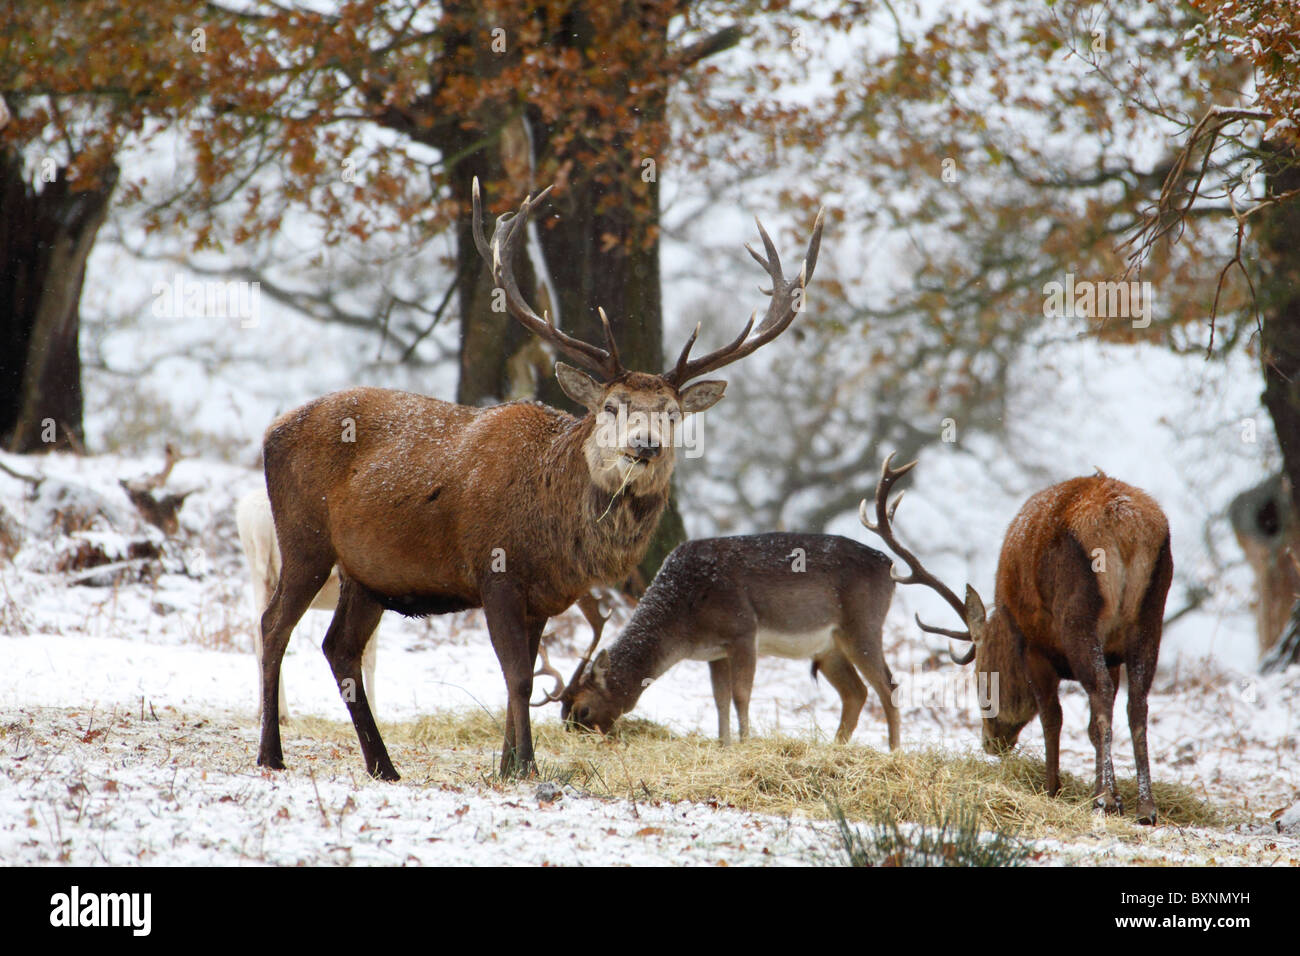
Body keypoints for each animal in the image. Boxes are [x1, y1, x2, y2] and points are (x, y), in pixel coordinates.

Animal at [253, 180, 824, 780]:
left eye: (672, 414)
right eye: (612, 406)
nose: (645, 445)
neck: (556, 528)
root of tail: (270, 432)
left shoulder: (545, 598)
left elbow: (522, 676)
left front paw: (508, 763)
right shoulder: (495, 570)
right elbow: (519, 677)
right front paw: (524, 766)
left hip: (367, 573)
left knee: (338, 646)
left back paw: (383, 765)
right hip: (304, 537)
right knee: (274, 625)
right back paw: (272, 753)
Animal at [537, 533, 901, 749]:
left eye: (582, 709)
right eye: (563, 712)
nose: (573, 736)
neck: (685, 621)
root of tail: (890, 566)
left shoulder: (743, 631)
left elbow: (741, 695)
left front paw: (744, 743)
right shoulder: (715, 653)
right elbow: (720, 699)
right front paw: (723, 744)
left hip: (863, 625)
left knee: (887, 686)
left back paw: (894, 751)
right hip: (829, 648)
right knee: (857, 692)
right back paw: (836, 749)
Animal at [859, 454, 1173, 824]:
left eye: (980, 681)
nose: (990, 743)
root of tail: (1123, 526)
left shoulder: (1033, 646)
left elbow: (1053, 717)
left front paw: (1052, 788)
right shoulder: (1110, 654)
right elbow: (1092, 726)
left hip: (1078, 616)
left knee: (1100, 692)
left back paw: (1105, 800)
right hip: (1151, 614)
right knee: (1136, 701)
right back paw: (1145, 806)